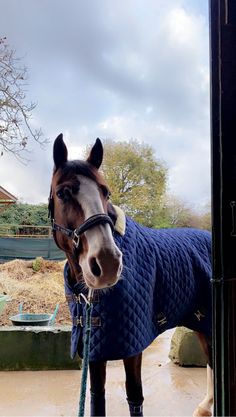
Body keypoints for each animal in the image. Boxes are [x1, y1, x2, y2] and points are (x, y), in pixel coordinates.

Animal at [48, 134, 213, 416]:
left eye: (105, 192)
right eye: (62, 193)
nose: (107, 263)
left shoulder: (133, 345)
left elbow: (135, 395)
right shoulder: (96, 346)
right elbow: (97, 396)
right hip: (201, 321)